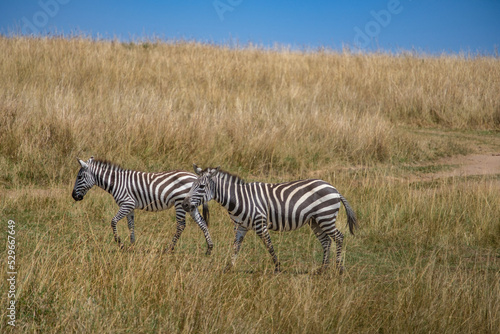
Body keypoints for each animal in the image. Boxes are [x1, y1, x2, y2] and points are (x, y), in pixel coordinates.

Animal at [72, 157, 213, 253]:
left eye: (79, 177)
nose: (73, 196)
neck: (116, 182)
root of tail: (195, 177)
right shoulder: (130, 207)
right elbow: (131, 225)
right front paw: (132, 245)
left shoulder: (127, 203)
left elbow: (113, 221)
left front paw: (120, 243)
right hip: (190, 205)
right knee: (202, 222)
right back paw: (209, 248)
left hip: (180, 202)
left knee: (181, 225)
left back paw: (169, 248)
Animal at [182, 166, 358, 272]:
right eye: (192, 185)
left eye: (201, 187)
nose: (184, 204)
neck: (239, 199)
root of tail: (334, 188)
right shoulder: (241, 226)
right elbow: (236, 247)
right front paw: (228, 268)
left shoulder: (260, 223)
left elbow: (269, 245)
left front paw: (278, 267)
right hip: (315, 221)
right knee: (326, 241)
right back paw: (322, 269)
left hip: (325, 216)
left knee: (339, 237)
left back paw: (339, 268)